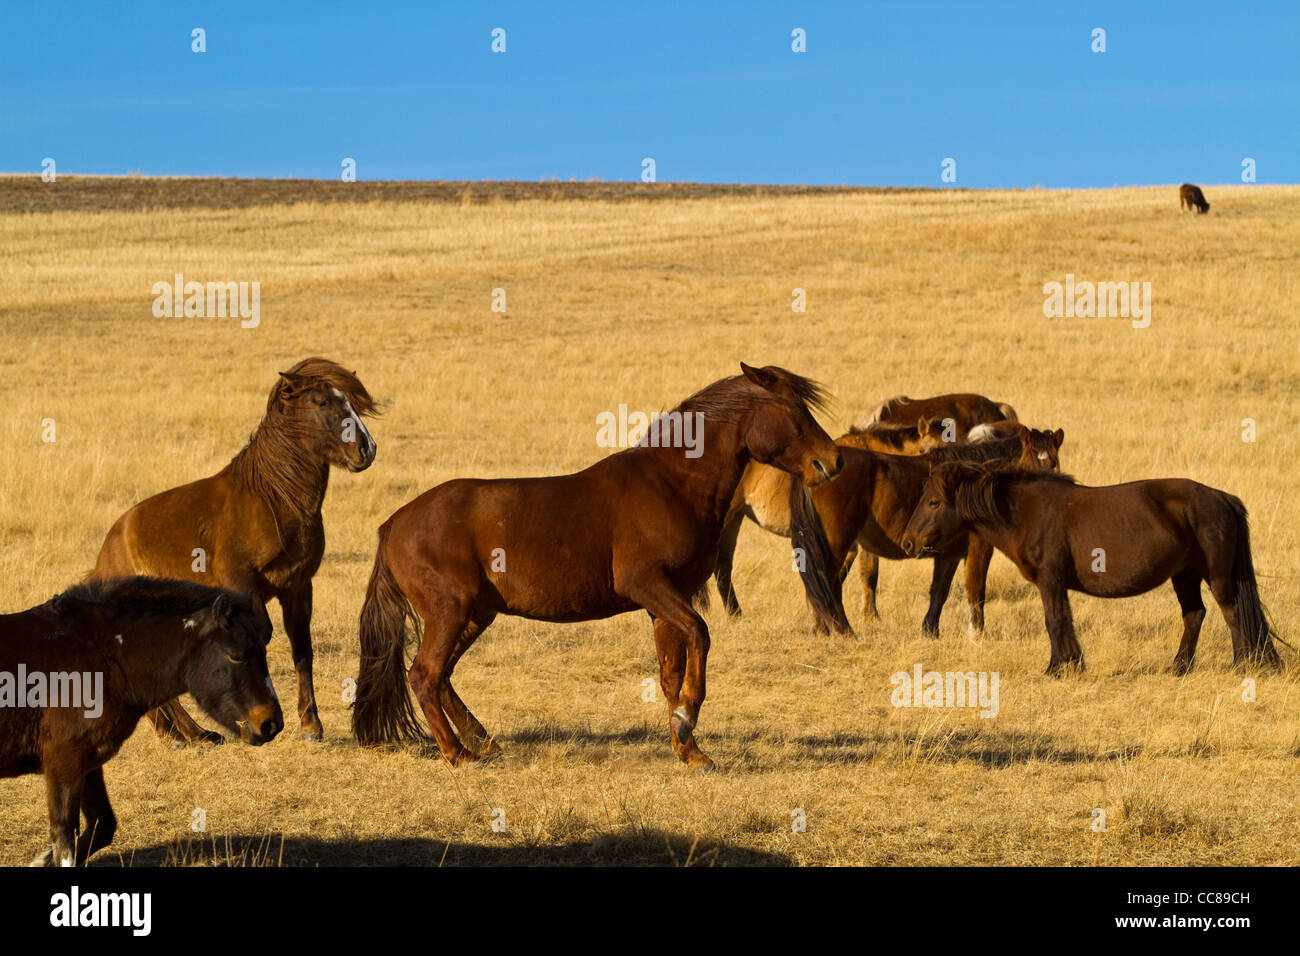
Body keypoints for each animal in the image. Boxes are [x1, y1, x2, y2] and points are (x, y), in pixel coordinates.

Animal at [1, 577, 282, 866]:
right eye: (236, 655)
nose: (271, 723)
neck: (99, 655)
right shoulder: (64, 762)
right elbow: (65, 841)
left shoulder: (88, 763)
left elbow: (102, 827)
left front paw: (40, 860)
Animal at [89, 357, 377, 744]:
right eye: (322, 402)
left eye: (351, 402)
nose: (367, 449)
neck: (270, 499)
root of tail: (106, 552)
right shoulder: (243, 585)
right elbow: (258, 636)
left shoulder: (298, 587)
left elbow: (302, 649)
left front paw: (311, 726)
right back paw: (185, 734)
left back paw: (187, 733)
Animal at [351, 364, 844, 770]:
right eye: (793, 410)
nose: (833, 461)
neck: (672, 482)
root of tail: (394, 524)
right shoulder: (649, 586)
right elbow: (700, 636)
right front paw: (687, 718)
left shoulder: (664, 602)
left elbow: (670, 673)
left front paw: (688, 747)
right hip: (449, 611)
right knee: (424, 676)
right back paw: (459, 754)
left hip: (475, 614)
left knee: (442, 677)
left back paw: (482, 741)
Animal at [789, 425, 1065, 636]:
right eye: (1030, 463)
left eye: (1054, 463)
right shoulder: (979, 547)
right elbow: (975, 589)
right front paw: (977, 634)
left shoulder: (949, 554)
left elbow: (939, 592)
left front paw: (930, 631)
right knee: (826, 581)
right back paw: (838, 629)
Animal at [900, 462, 1282, 674]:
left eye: (933, 502)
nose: (908, 542)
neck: (1025, 512)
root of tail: (1222, 498)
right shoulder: (1055, 584)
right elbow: (1064, 620)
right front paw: (1072, 663)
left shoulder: (1049, 580)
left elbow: (1054, 621)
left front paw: (1057, 668)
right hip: (1184, 575)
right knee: (1195, 614)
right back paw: (1179, 667)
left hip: (1216, 576)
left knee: (1232, 612)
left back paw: (1242, 664)